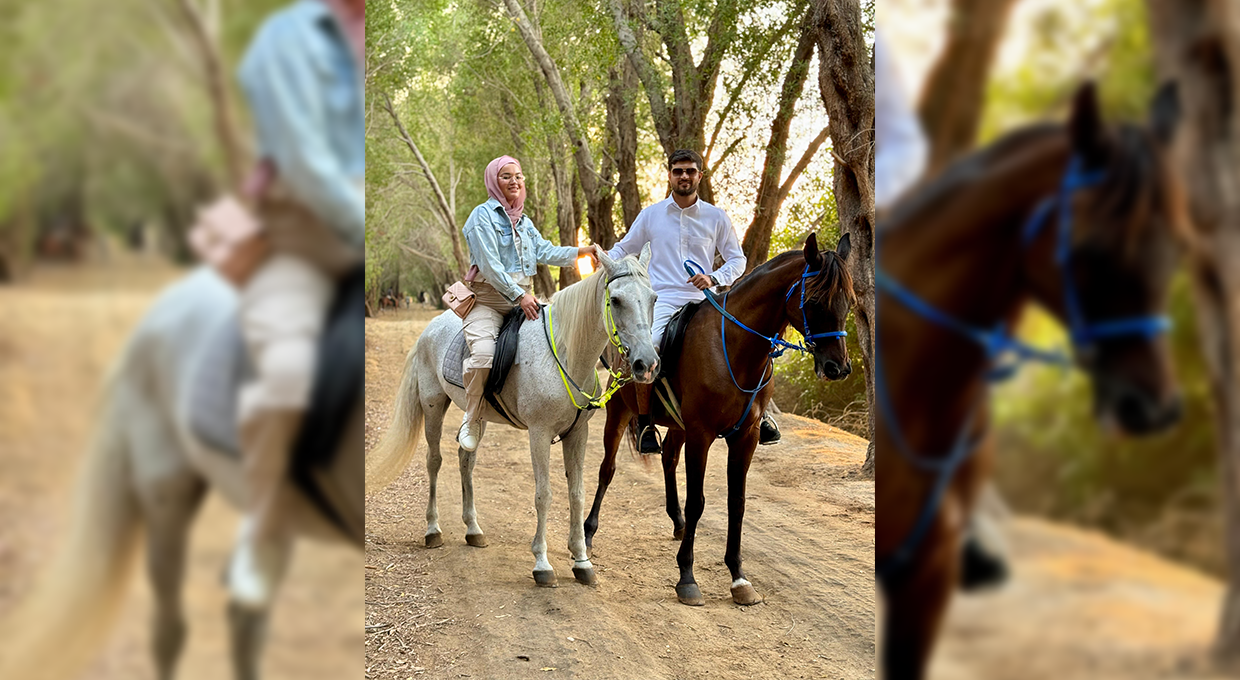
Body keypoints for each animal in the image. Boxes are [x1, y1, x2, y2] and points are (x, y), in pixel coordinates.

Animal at [366, 245, 659, 587]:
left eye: (653, 298)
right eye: (617, 300)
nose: (647, 364)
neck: (566, 354)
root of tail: (430, 328)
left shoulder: (577, 434)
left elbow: (577, 493)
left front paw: (582, 561)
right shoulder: (539, 433)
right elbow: (544, 495)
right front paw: (542, 564)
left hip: (476, 416)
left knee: (465, 459)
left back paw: (473, 529)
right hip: (433, 405)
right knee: (434, 461)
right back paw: (433, 529)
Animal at [583, 233, 856, 606]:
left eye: (850, 300)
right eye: (814, 300)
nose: (837, 367)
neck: (737, 350)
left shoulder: (746, 436)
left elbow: (736, 502)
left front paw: (739, 578)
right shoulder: (702, 433)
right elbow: (698, 501)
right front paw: (686, 577)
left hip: (678, 427)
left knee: (668, 460)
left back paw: (678, 522)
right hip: (620, 414)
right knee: (607, 470)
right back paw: (588, 533)